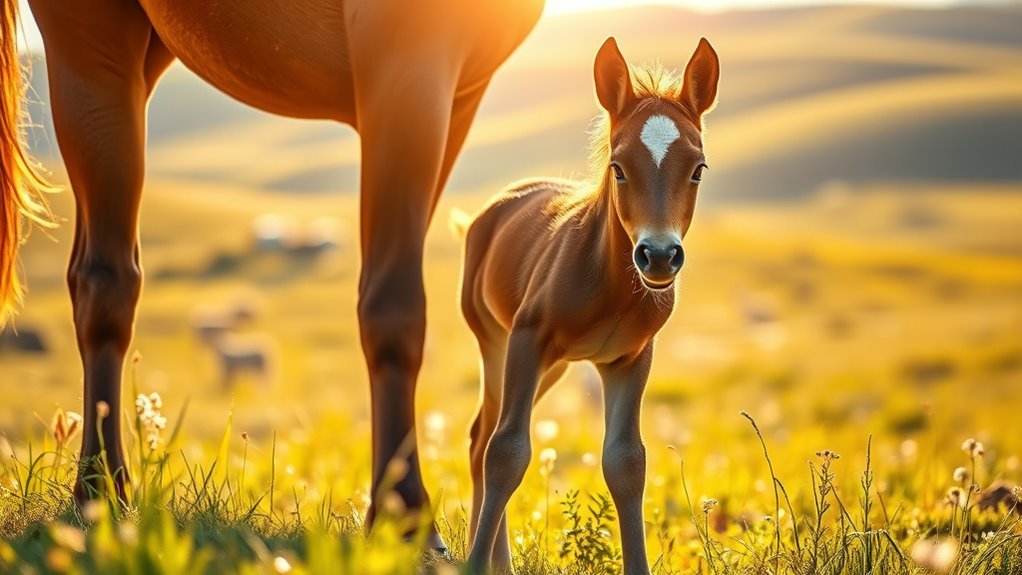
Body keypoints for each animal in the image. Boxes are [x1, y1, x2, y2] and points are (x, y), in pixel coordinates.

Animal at [0, 0, 545, 550]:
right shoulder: (408, 61)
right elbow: (394, 306)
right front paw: (406, 519)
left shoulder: (457, 95)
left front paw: (392, 514)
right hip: (92, 43)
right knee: (105, 282)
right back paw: (101, 493)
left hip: (144, 56)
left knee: (93, 273)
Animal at [457, 37, 719, 573]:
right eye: (618, 168)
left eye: (698, 170)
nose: (658, 255)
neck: (610, 287)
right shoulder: (528, 338)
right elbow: (506, 452)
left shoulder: (631, 358)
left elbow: (627, 463)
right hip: (497, 343)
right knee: (484, 438)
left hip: (553, 366)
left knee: (483, 434)